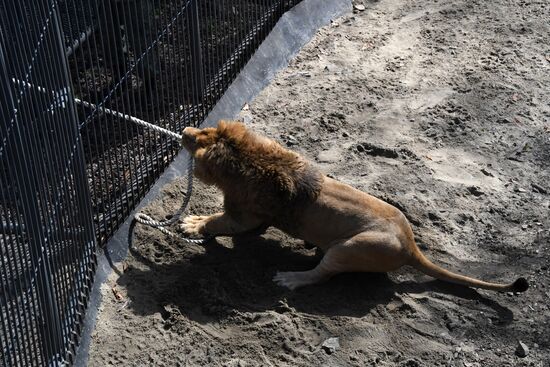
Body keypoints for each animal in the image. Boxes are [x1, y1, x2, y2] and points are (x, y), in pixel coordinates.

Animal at [180, 121, 532, 294]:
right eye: (204, 130)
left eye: (199, 140)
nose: (184, 130)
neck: (250, 159)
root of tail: (410, 245)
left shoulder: (246, 216)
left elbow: (217, 222)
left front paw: (192, 224)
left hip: (350, 248)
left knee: (321, 275)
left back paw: (291, 279)